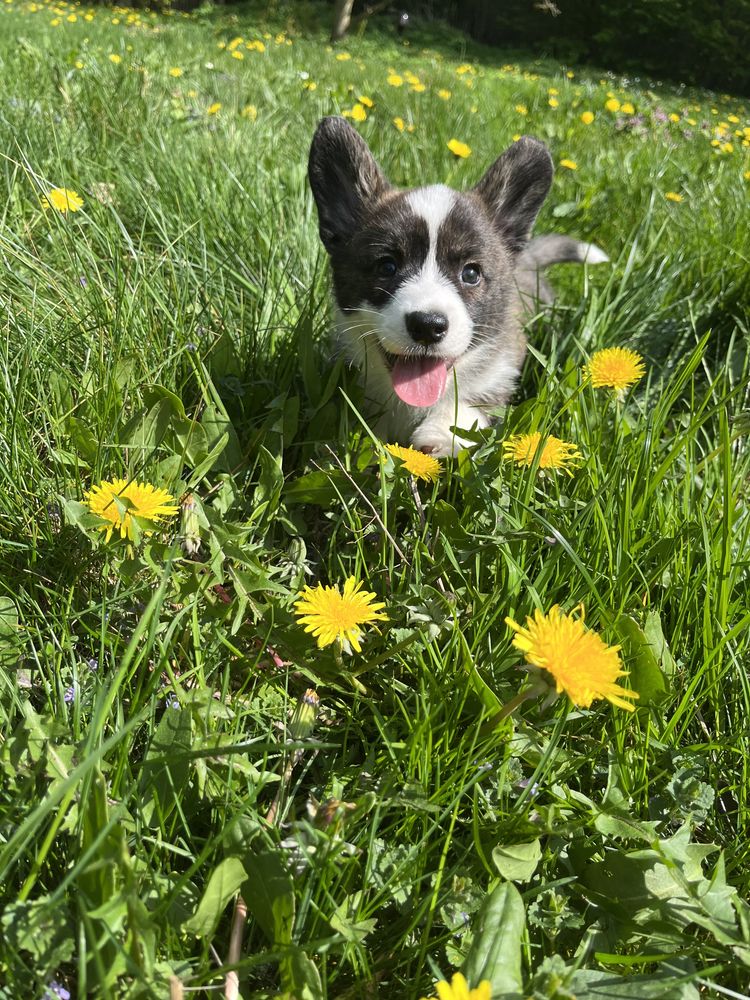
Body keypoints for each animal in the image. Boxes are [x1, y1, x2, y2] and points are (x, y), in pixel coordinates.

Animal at [308, 117, 608, 458]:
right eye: (387, 266)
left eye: (471, 273)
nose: (427, 325)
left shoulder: (499, 373)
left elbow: (473, 402)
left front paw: (442, 433)